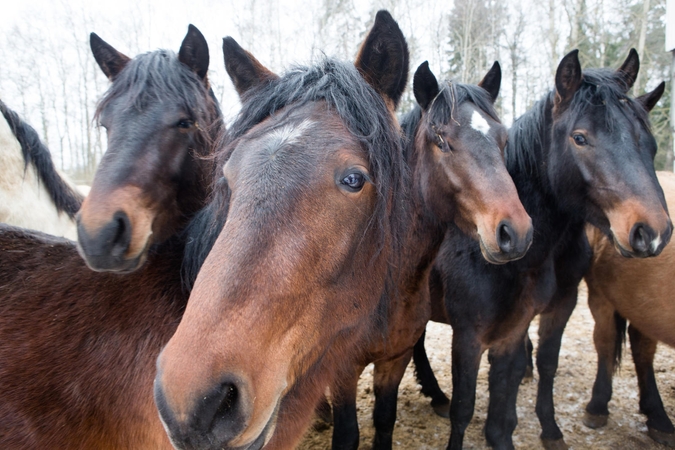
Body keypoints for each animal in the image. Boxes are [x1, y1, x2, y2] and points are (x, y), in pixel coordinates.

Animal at [330, 60, 536, 450]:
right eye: (441, 140)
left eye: (503, 140)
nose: (514, 232)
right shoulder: (342, 371)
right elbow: (346, 434)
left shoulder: (394, 359)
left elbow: (385, 420)